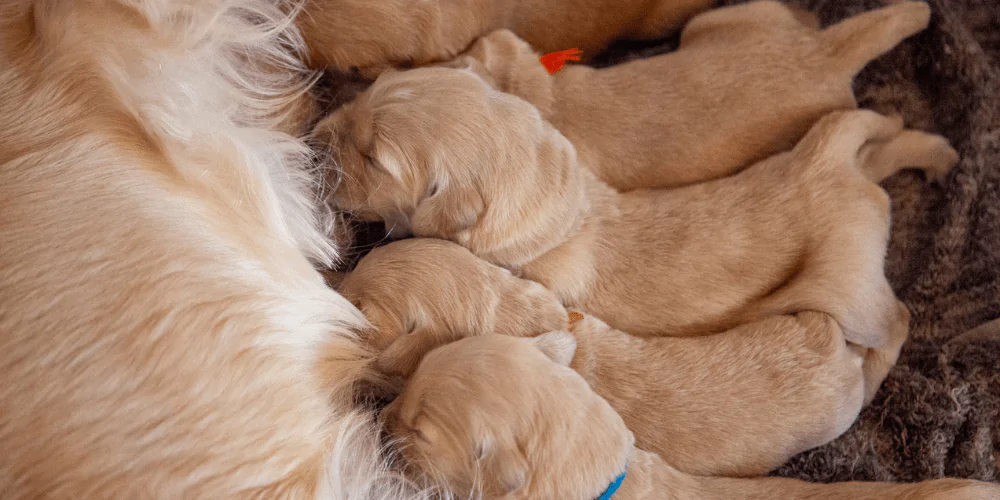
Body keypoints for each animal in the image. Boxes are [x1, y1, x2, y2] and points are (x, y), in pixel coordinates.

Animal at [316, 68, 956, 350]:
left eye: (373, 157)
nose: (316, 137)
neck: (553, 208)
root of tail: (823, 159)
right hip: (850, 169)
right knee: (884, 139)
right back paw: (940, 154)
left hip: (850, 286)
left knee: (894, 319)